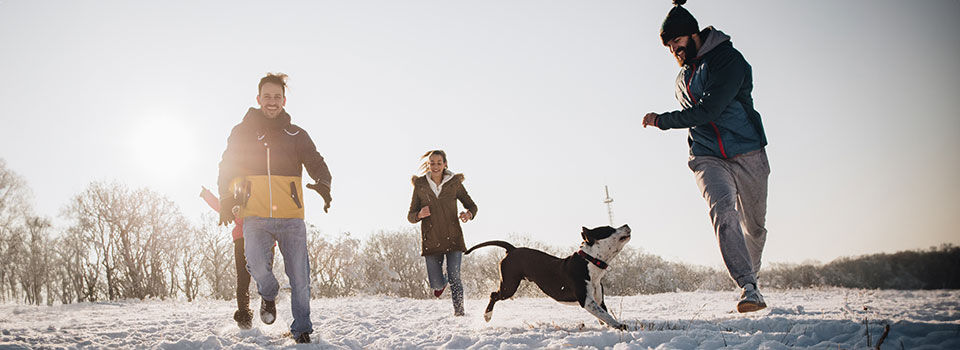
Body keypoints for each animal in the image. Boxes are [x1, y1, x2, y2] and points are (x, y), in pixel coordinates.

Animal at [464, 226, 632, 330]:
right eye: (609, 229)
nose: (627, 224)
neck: (589, 261)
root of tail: (511, 249)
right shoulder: (587, 300)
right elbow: (605, 315)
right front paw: (620, 326)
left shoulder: (598, 299)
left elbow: (603, 314)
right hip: (509, 285)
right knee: (493, 294)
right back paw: (487, 316)